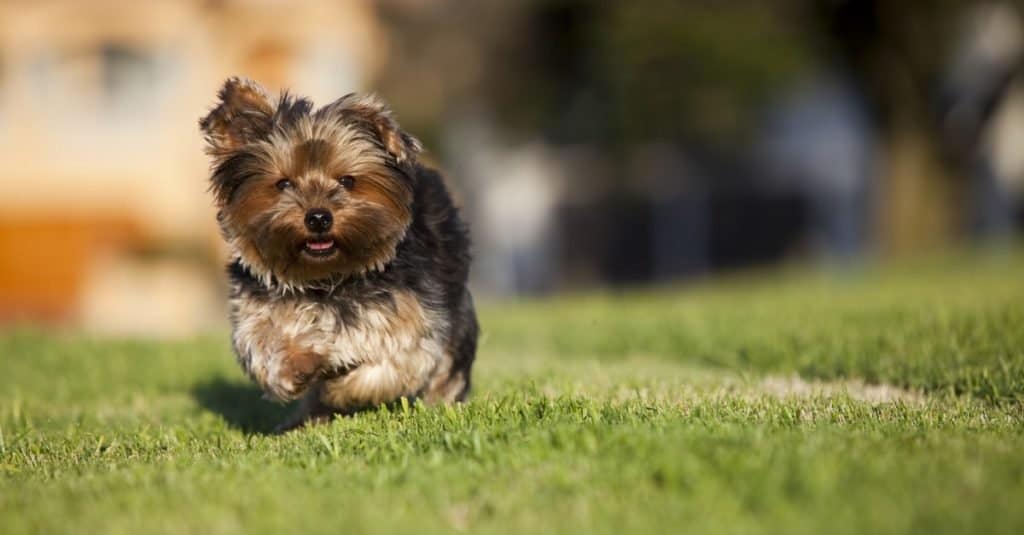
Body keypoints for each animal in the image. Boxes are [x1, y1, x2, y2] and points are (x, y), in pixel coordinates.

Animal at [199, 77, 479, 428]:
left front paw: (338, 387)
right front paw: (301, 363)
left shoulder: (410, 324)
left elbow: (385, 369)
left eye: (347, 181)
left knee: (449, 367)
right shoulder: (256, 312)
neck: (328, 280)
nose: (318, 217)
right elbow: (266, 350)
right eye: (283, 184)